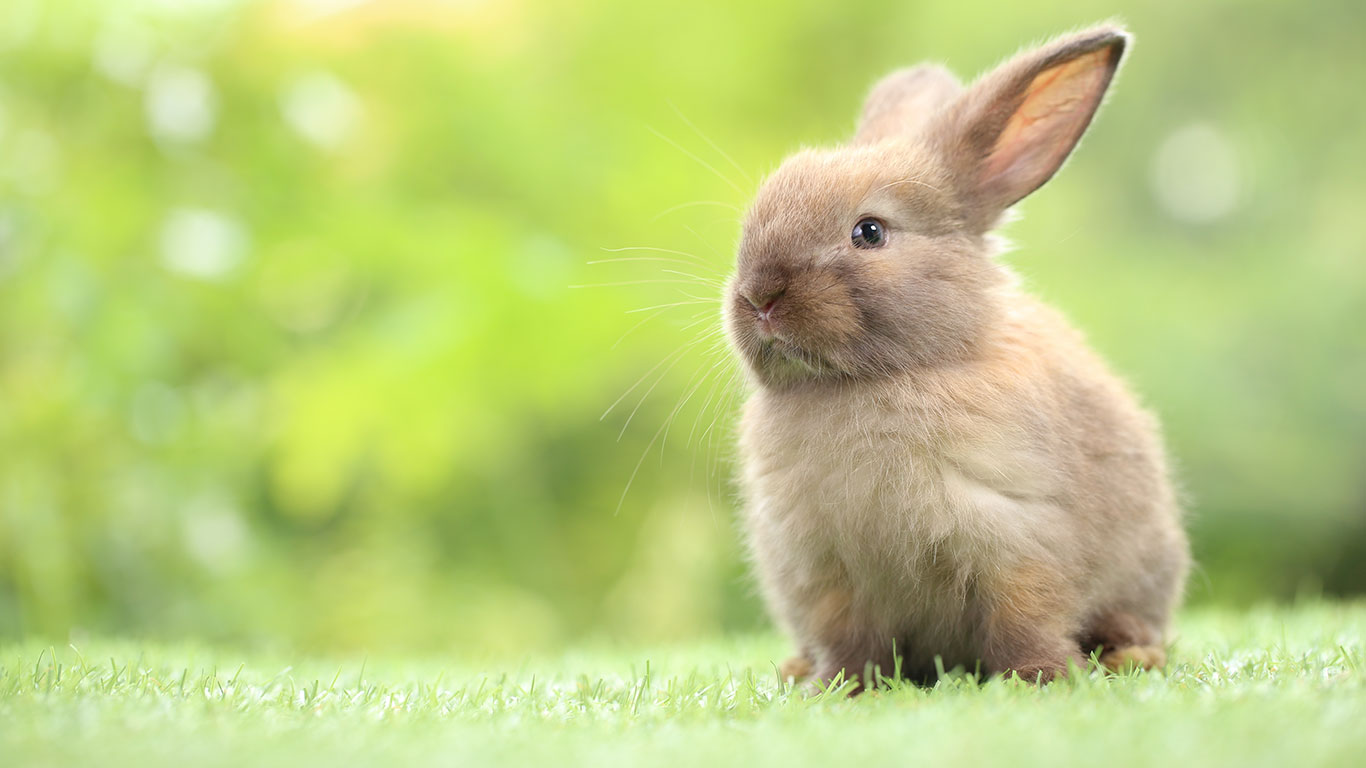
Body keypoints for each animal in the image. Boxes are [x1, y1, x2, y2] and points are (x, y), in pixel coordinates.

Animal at [723, 24, 1189, 687]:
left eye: (869, 231)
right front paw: (834, 690)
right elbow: (847, 643)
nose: (760, 296)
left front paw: (1045, 679)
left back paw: (1132, 658)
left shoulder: (1018, 540)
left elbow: (1025, 622)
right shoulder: (825, 576)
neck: (875, 379)